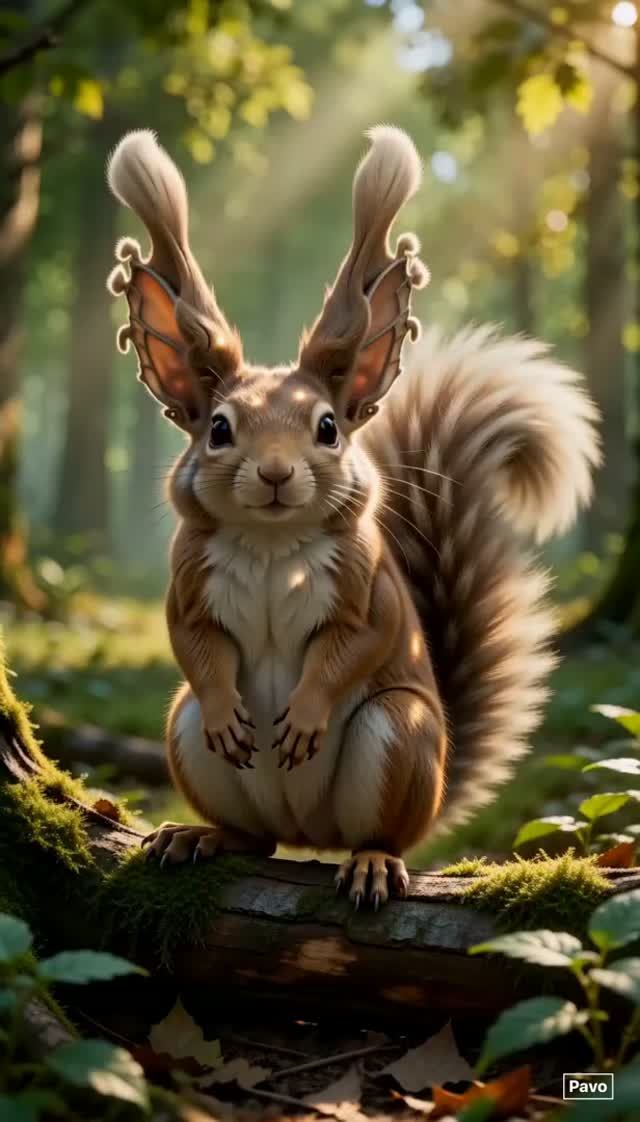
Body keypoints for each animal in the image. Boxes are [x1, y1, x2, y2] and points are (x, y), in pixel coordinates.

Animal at [107, 125, 600, 909]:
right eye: (218, 428)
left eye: (329, 427)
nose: (276, 474)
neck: (272, 541)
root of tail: (308, 833)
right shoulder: (188, 584)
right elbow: (191, 640)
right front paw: (224, 709)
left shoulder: (369, 590)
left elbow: (355, 645)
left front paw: (307, 711)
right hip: (184, 735)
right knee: (251, 832)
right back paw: (201, 834)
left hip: (401, 733)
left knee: (385, 835)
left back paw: (369, 862)